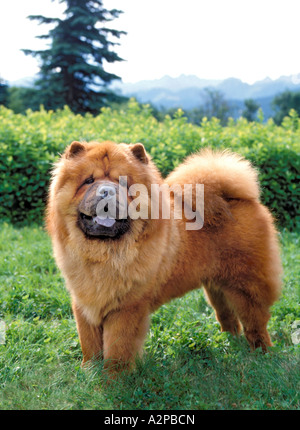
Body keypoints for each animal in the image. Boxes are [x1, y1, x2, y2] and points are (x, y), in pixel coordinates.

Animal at [46, 141, 282, 372]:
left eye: (123, 183)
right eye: (88, 181)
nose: (107, 191)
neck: (104, 254)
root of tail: (238, 198)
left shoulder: (127, 306)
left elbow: (117, 347)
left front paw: (114, 377)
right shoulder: (84, 301)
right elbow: (89, 342)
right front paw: (89, 371)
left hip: (245, 286)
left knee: (255, 323)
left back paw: (262, 356)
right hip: (217, 288)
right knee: (227, 316)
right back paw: (228, 342)